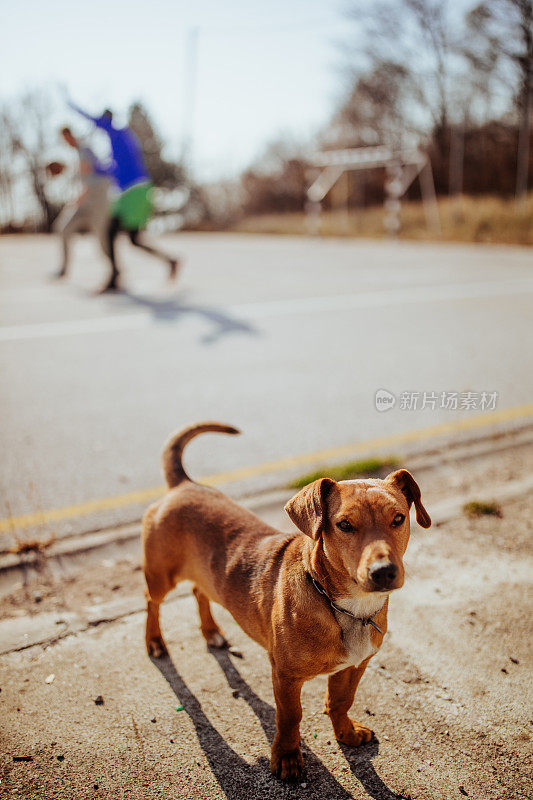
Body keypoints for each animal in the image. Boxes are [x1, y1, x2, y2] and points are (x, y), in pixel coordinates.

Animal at [142, 422, 432, 780]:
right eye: (344, 525)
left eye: (398, 518)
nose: (384, 572)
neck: (344, 607)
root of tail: (184, 485)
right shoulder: (285, 676)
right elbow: (291, 716)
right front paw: (288, 756)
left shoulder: (355, 665)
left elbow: (341, 702)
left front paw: (346, 733)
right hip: (161, 576)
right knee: (152, 601)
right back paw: (154, 640)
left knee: (199, 592)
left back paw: (212, 632)